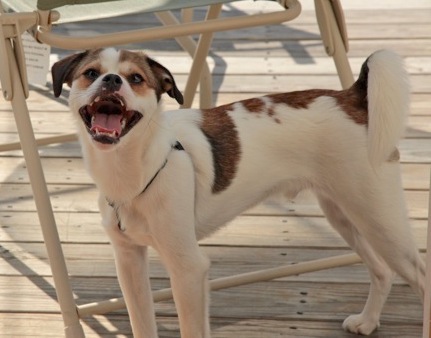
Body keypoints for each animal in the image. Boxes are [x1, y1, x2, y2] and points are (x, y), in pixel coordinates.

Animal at [51, 48, 426, 338]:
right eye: (91, 73)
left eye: (136, 79)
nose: (112, 80)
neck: (137, 168)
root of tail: (351, 96)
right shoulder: (129, 263)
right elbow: (142, 325)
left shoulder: (189, 270)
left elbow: (192, 328)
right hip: (346, 215)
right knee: (382, 271)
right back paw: (368, 321)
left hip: (381, 222)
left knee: (422, 279)